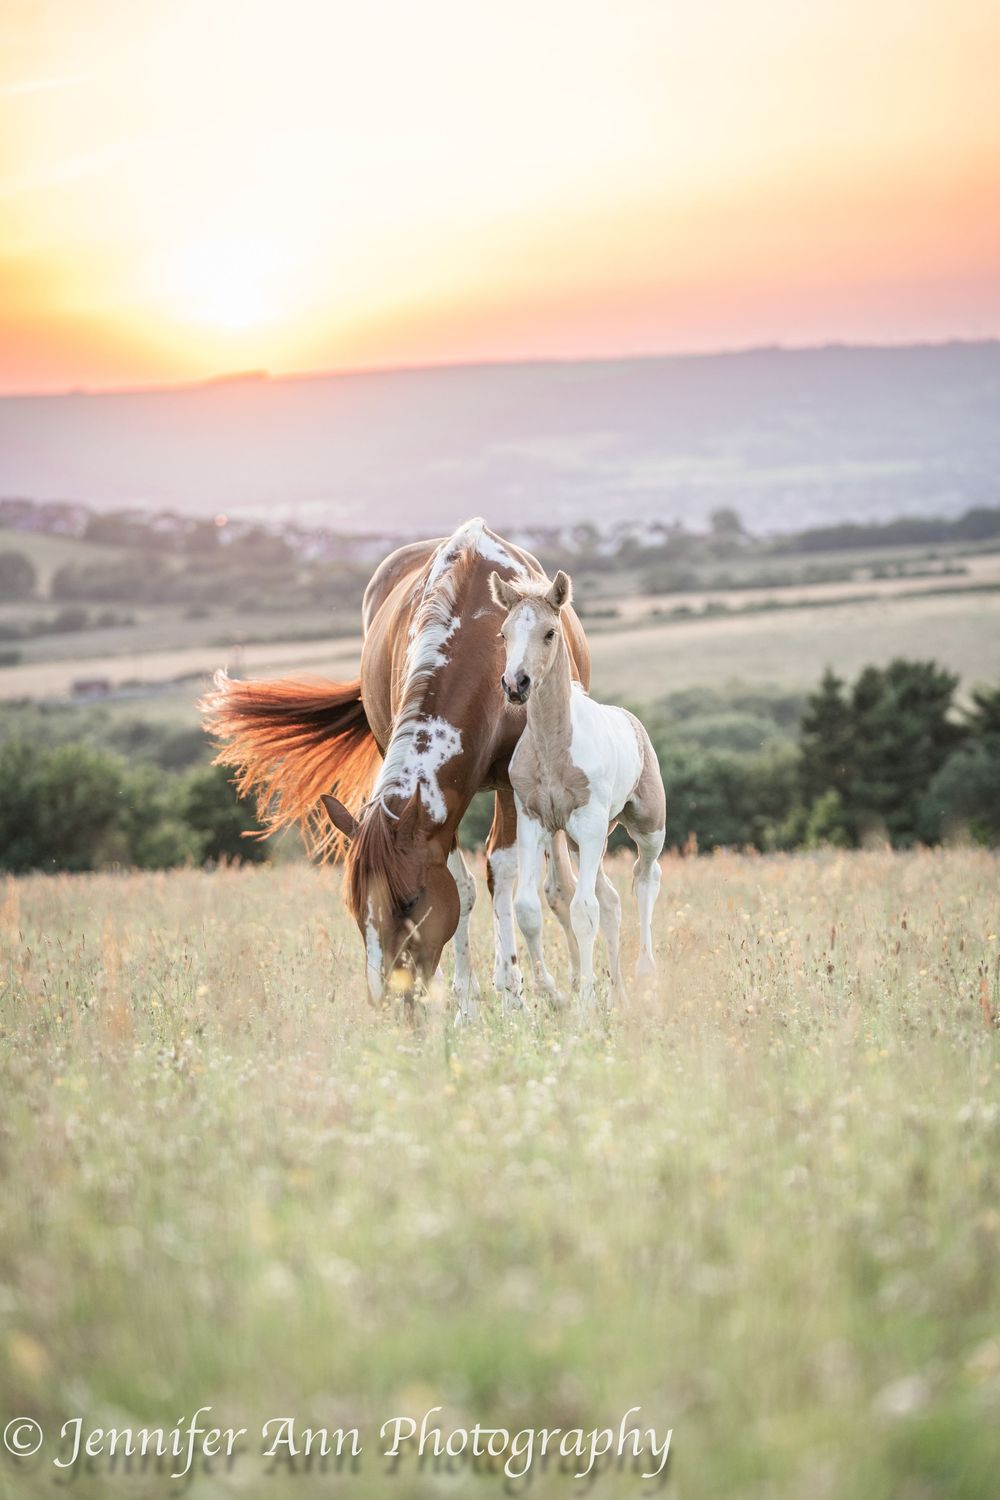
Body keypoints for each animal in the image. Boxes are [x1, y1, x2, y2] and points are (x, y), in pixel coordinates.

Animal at [201, 519, 591, 1016]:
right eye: (355, 907)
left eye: (408, 902)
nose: (390, 995)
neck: (478, 650)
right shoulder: (440, 814)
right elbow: (461, 888)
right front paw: (463, 1003)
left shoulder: (513, 784)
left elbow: (504, 876)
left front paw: (516, 994)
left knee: (557, 883)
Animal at [489, 566, 666, 1007]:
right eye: (504, 633)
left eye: (550, 632)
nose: (515, 684)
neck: (553, 749)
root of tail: (631, 720)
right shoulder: (534, 823)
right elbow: (529, 908)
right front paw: (552, 993)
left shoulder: (587, 823)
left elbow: (583, 910)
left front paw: (584, 999)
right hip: (583, 840)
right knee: (612, 900)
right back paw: (619, 995)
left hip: (645, 826)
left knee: (645, 877)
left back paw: (645, 975)